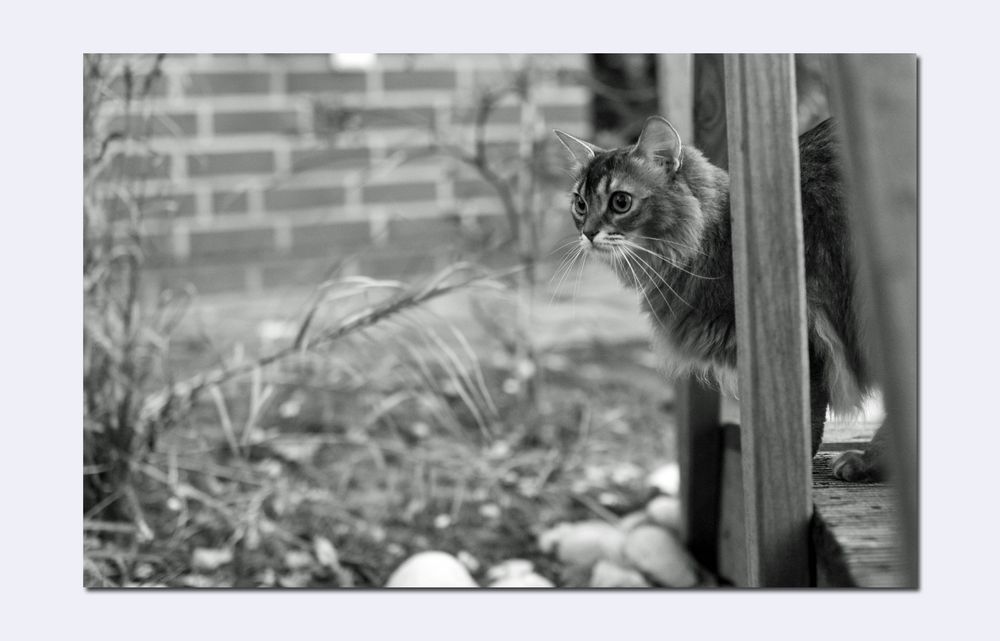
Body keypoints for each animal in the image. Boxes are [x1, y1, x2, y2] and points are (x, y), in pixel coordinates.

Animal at [552, 117, 888, 482]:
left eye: (620, 202)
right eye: (580, 204)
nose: (587, 233)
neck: (717, 236)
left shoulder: (807, 349)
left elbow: (805, 432)